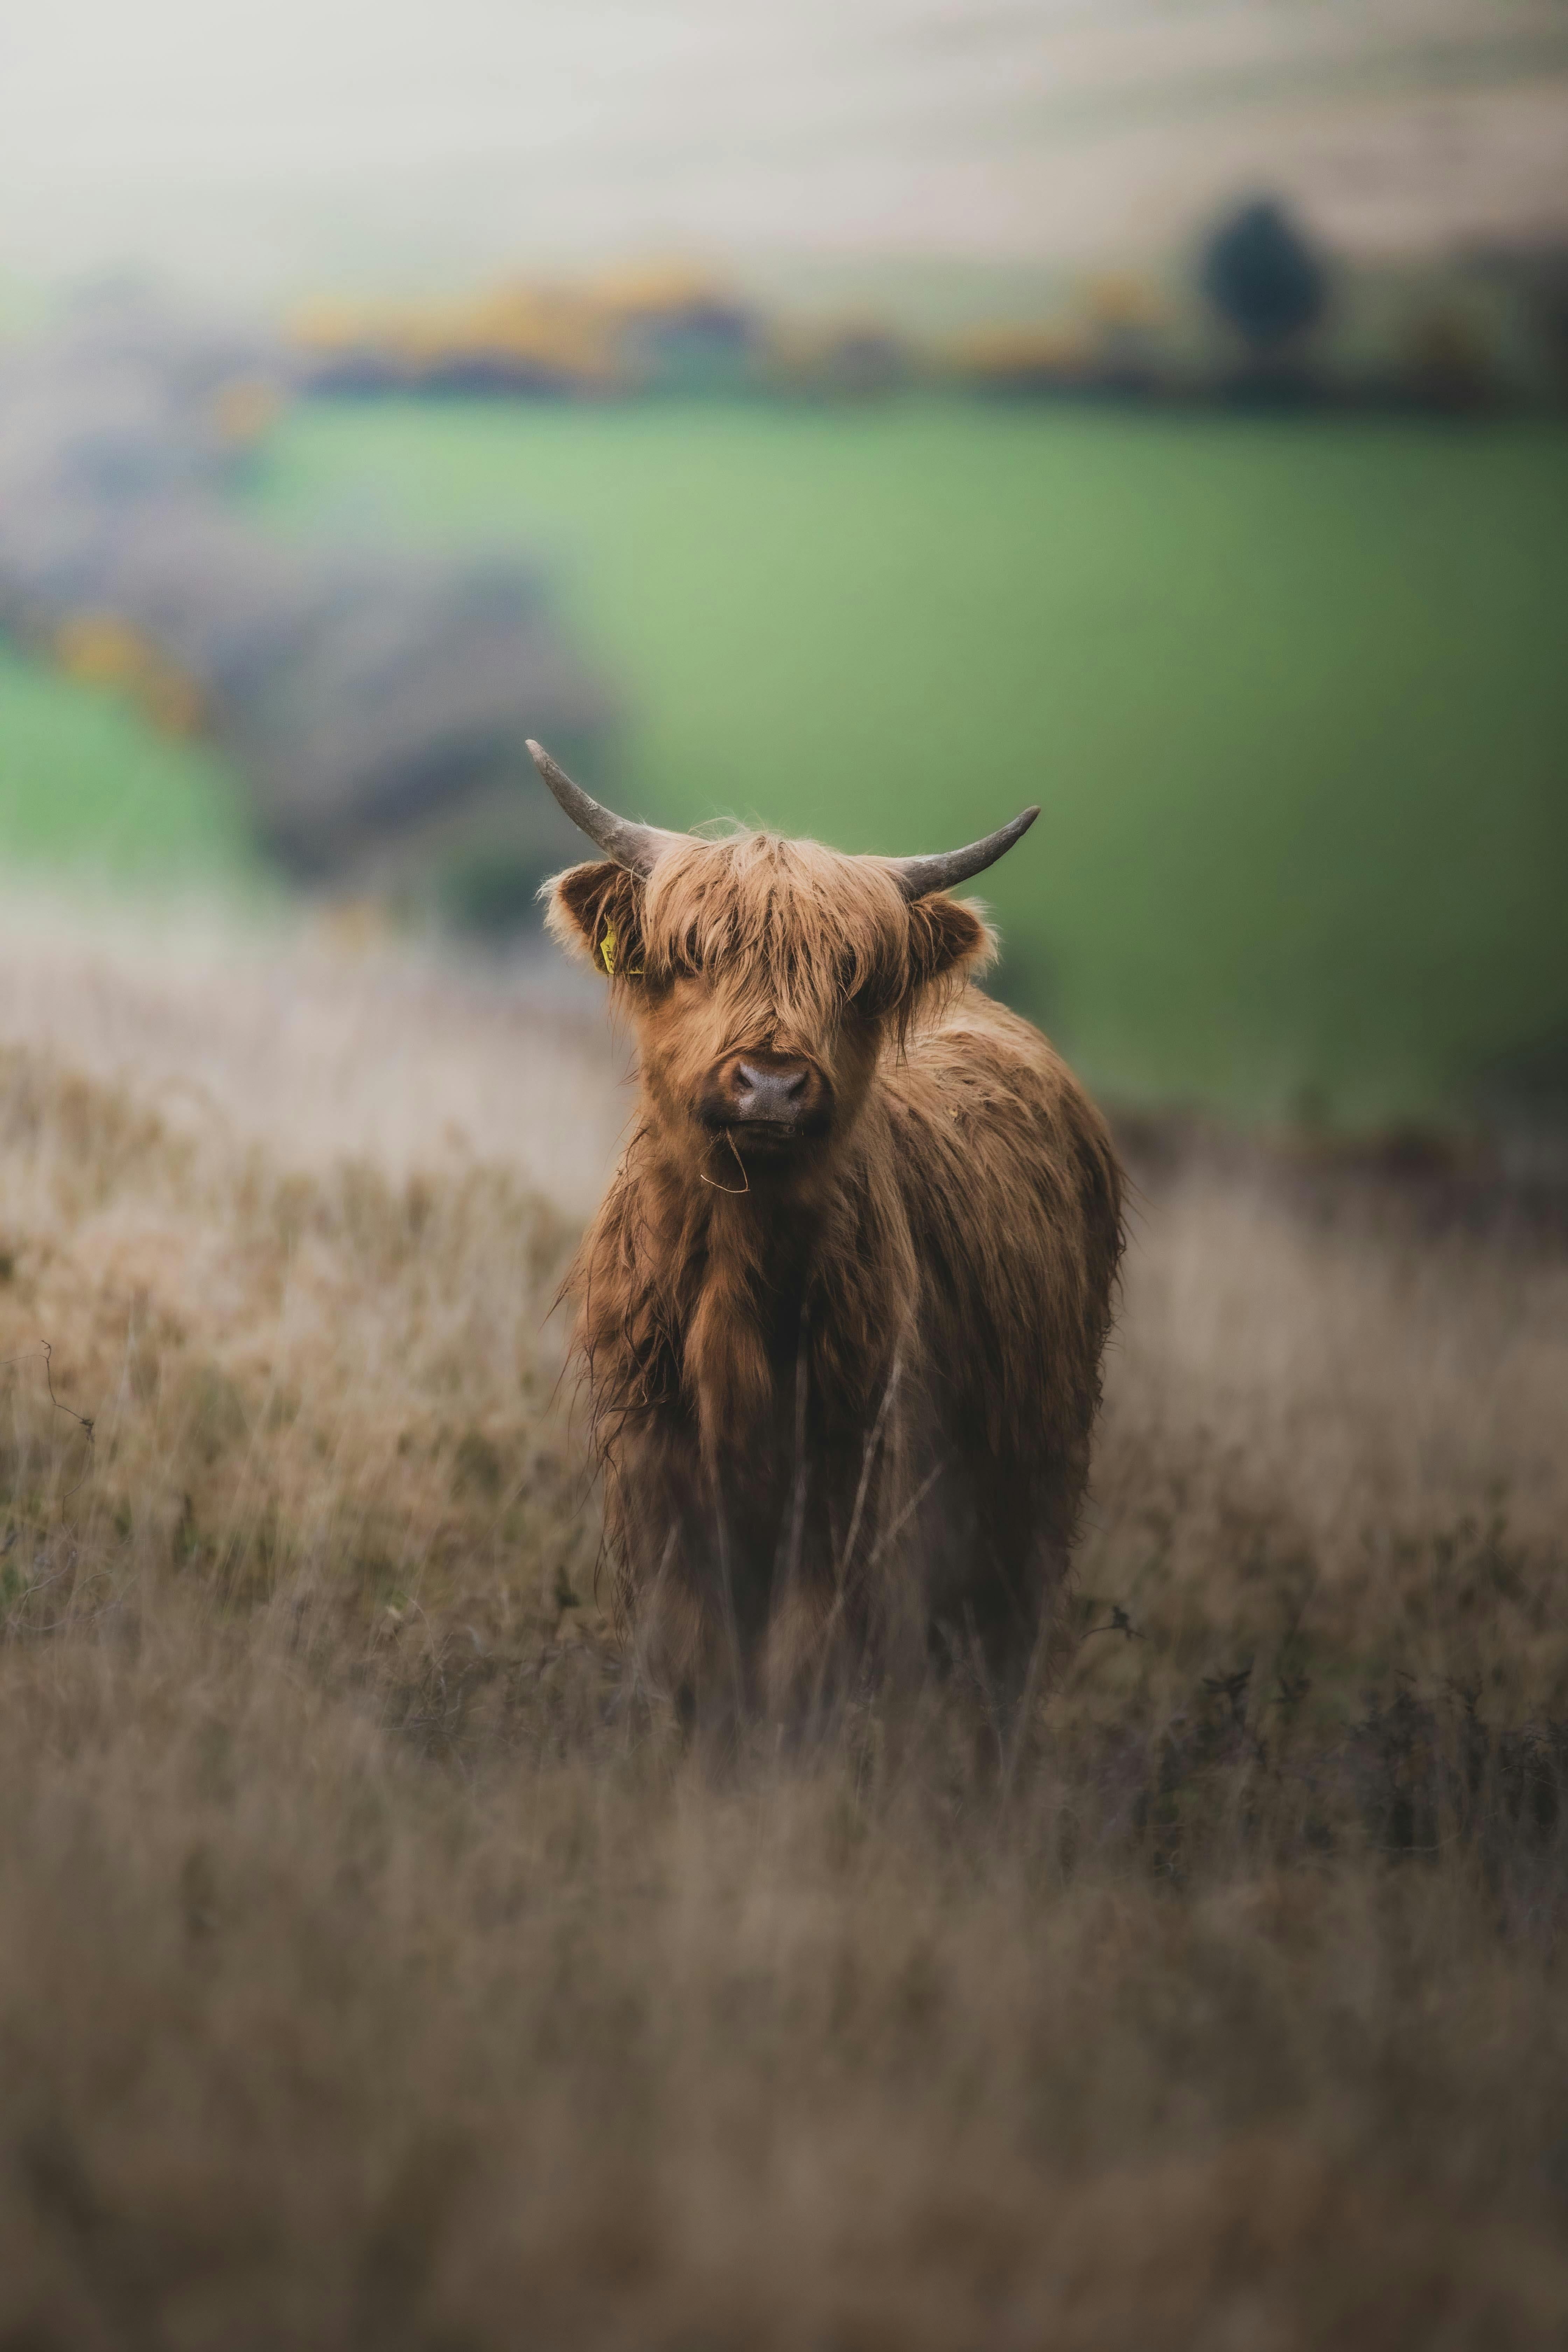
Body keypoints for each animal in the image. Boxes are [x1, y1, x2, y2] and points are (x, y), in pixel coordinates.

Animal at [533, 743, 1124, 1722]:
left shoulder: (852, 1495)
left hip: (1031, 1496)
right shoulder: (661, 1486)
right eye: (693, 957)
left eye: (854, 978)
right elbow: (699, 1670)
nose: (771, 1084)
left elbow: (801, 1679)